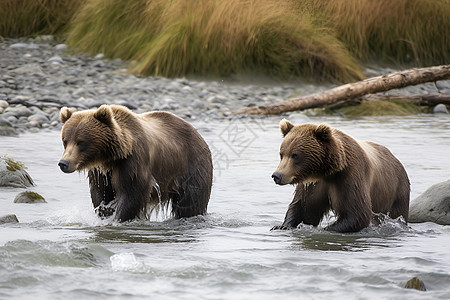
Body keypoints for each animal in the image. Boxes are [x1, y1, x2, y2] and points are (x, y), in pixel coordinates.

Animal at [58, 104, 213, 221]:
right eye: (65, 140)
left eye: (81, 142)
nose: (64, 163)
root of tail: (198, 134)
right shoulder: (101, 172)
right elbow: (101, 194)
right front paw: (104, 213)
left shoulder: (134, 161)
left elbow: (133, 193)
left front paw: (118, 218)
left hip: (190, 167)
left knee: (191, 202)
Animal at [272, 119, 410, 232]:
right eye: (282, 154)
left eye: (295, 155)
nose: (277, 175)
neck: (329, 171)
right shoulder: (313, 184)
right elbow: (304, 209)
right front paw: (282, 226)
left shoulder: (351, 176)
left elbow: (358, 213)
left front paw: (325, 229)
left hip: (397, 192)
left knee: (397, 213)